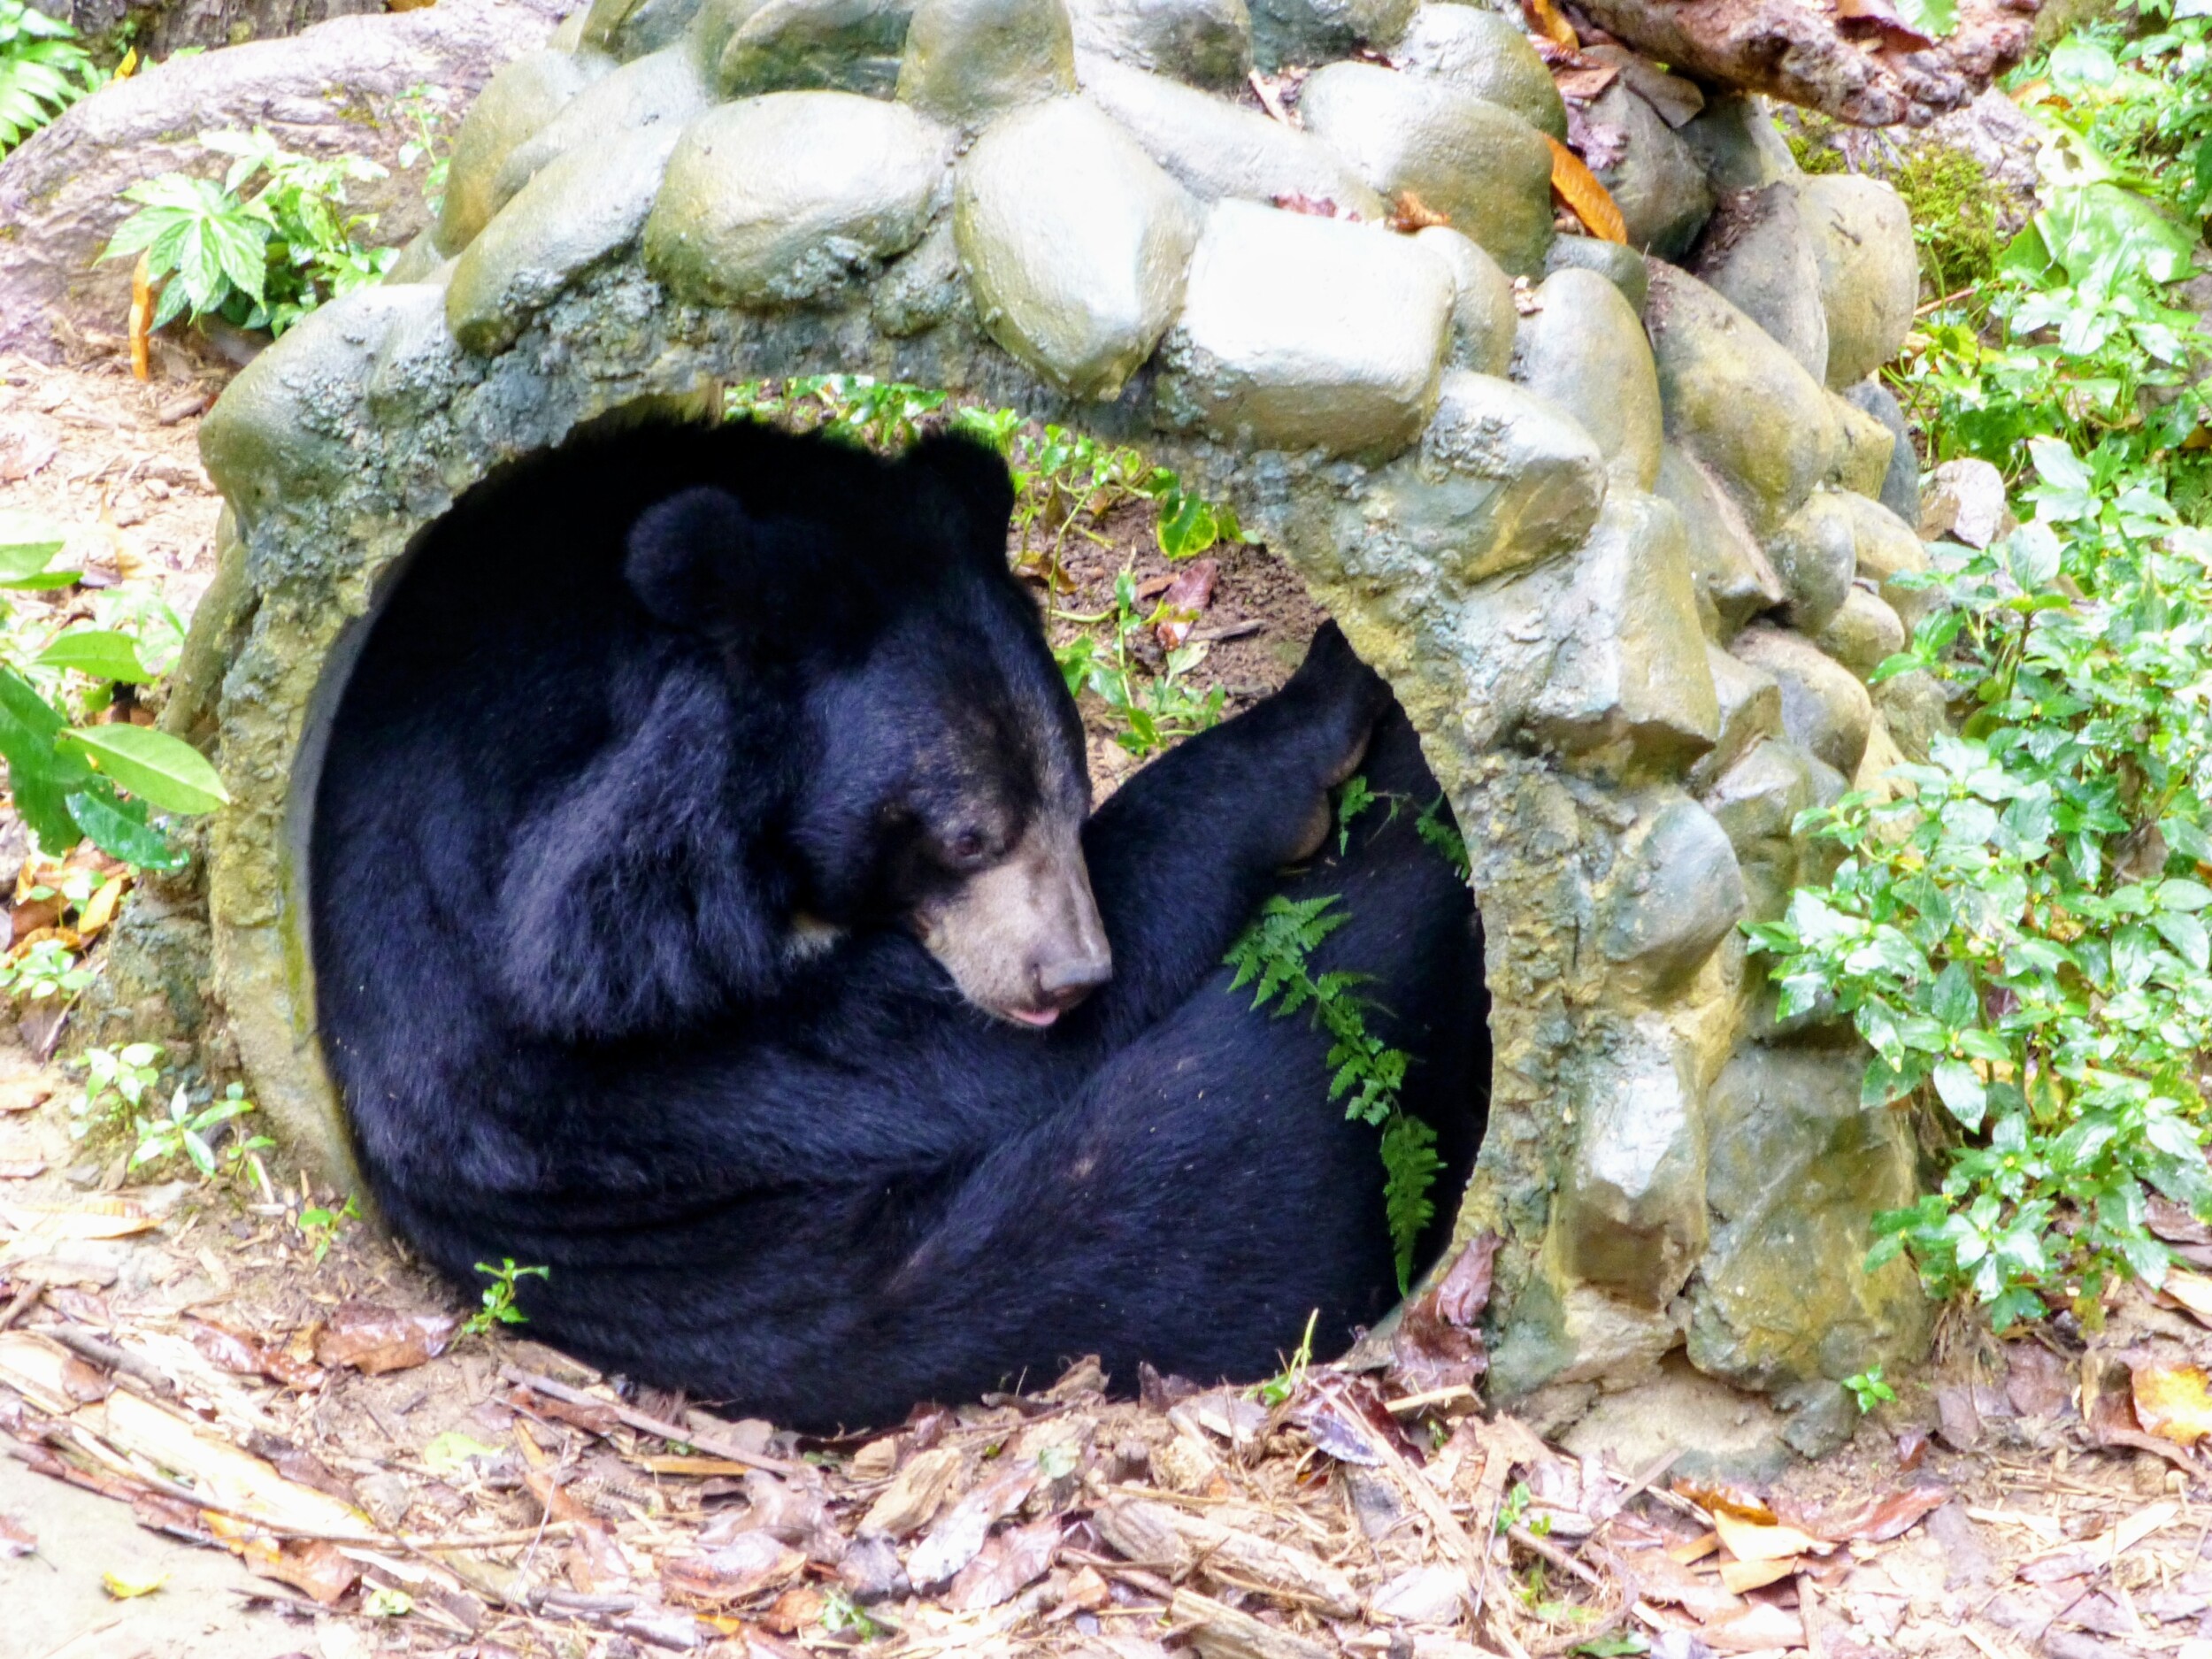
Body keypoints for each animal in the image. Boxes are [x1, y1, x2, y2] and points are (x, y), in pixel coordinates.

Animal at [310, 414, 1488, 1431]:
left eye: (1071, 791)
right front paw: (1326, 709)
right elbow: (900, 1054)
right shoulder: (562, 1014)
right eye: (965, 836)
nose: (1069, 976)